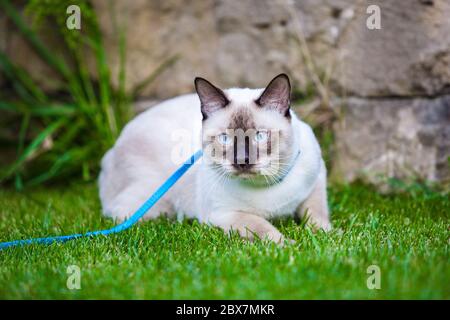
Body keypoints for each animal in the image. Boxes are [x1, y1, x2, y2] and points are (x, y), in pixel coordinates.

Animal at [98, 74, 330, 244]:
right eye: (225, 138)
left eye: (260, 136)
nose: (242, 160)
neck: (267, 187)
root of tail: (111, 151)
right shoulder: (224, 215)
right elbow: (262, 227)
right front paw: (288, 245)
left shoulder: (317, 181)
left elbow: (317, 215)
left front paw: (325, 237)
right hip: (156, 205)